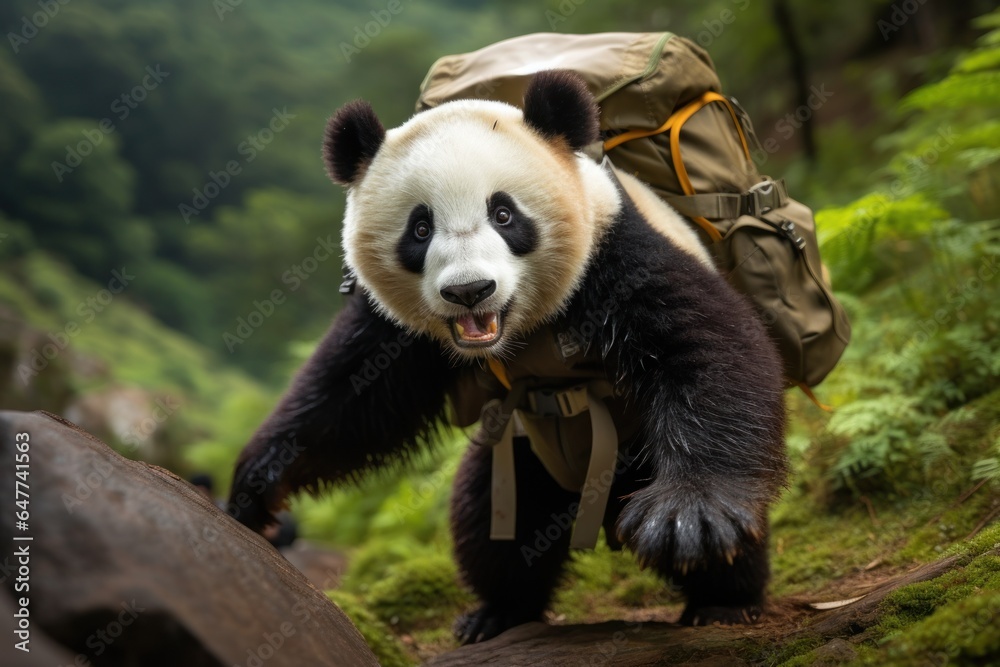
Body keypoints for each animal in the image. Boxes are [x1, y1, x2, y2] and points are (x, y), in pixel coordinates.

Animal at [229, 70, 787, 643]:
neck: (520, 334)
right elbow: (352, 396)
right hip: (516, 456)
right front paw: (258, 488)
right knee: (492, 524)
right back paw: (499, 611)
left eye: (503, 214)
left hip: (633, 449)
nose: (469, 291)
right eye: (420, 228)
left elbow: (706, 345)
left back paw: (723, 597)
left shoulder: (612, 253)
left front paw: (688, 516)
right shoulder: (397, 334)